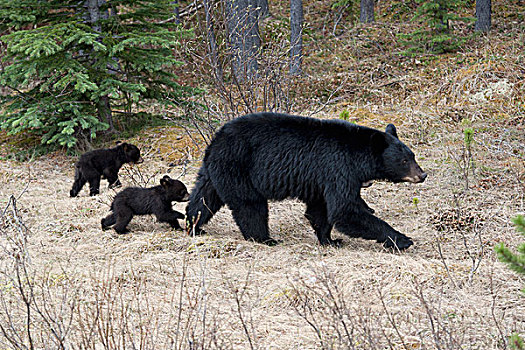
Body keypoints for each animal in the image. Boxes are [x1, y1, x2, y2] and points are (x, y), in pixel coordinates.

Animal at [185, 112, 426, 249]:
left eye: (412, 155)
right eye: (405, 160)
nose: (422, 175)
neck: (357, 156)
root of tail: (217, 138)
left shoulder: (321, 181)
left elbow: (321, 210)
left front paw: (330, 240)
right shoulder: (337, 168)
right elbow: (344, 210)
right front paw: (402, 239)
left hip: (214, 170)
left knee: (203, 198)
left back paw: (194, 225)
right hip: (238, 167)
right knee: (250, 205)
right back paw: (264, 238)